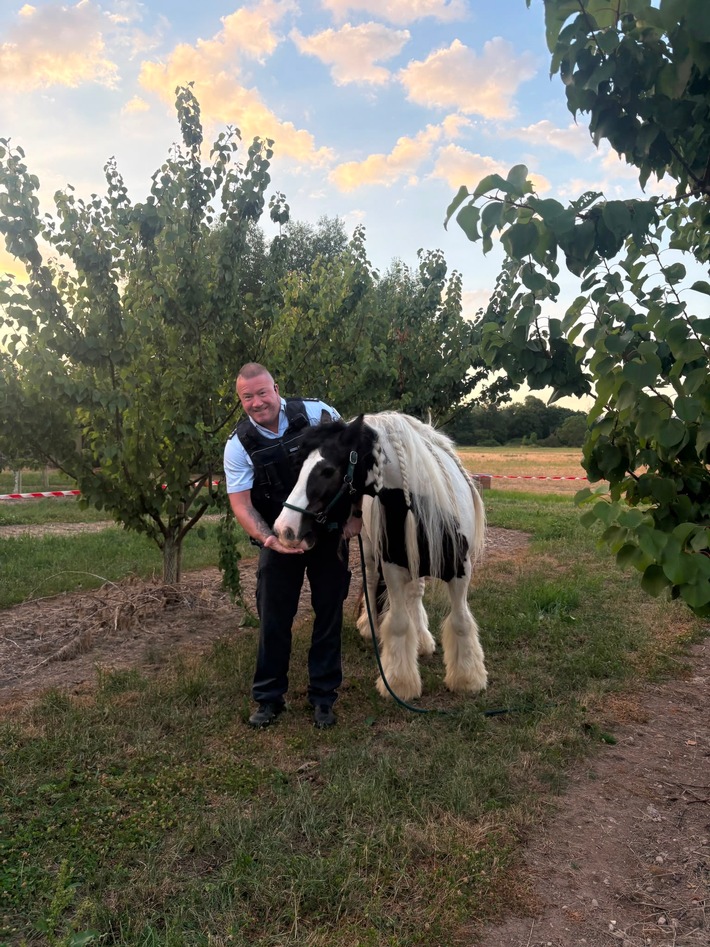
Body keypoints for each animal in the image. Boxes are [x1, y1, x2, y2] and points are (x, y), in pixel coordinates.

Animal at [272, 412, 488, 702]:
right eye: (300, 466)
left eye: (328, 470)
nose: (285, 529)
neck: (429, 501)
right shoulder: (392, 568)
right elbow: (398, 622)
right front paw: (400, 683)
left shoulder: (460, 570)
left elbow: (462, 620)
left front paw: (467, 679)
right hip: (371, 555)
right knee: (373, 585)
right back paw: (370, 627)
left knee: (415, 594)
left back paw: (422, 639)